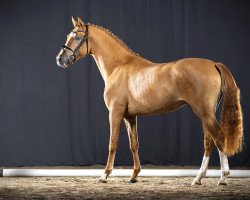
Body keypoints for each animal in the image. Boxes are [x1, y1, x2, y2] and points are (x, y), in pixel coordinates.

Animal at [56, 18, 242, 185]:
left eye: (77, 37)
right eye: (68, 35)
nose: (60, 59)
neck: (119, 66)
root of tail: (213, 64)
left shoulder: (115, 113)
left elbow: (113, 143)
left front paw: (104, 175)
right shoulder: (130, 117)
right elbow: (134, 144)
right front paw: (134, 176)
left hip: (204, 113)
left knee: (219, 137)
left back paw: (222, 177)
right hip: (205, 114)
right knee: (208, 142)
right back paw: (198, 178)